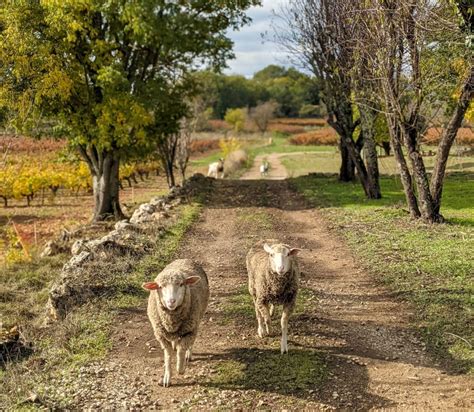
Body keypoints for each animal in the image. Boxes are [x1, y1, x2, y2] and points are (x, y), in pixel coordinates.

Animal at [141, 260, 207, 388]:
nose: (171, 301)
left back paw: (188, 354)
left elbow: (181, 350)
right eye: (160, 286)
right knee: (175, 340)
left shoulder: (190, 331)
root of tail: (184, 259)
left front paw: (180, 368)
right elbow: (168, 356)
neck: (172, 320)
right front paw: (167, 377)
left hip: (196, 321)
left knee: (189, 343)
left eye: (181, 284)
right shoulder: (161, 336)